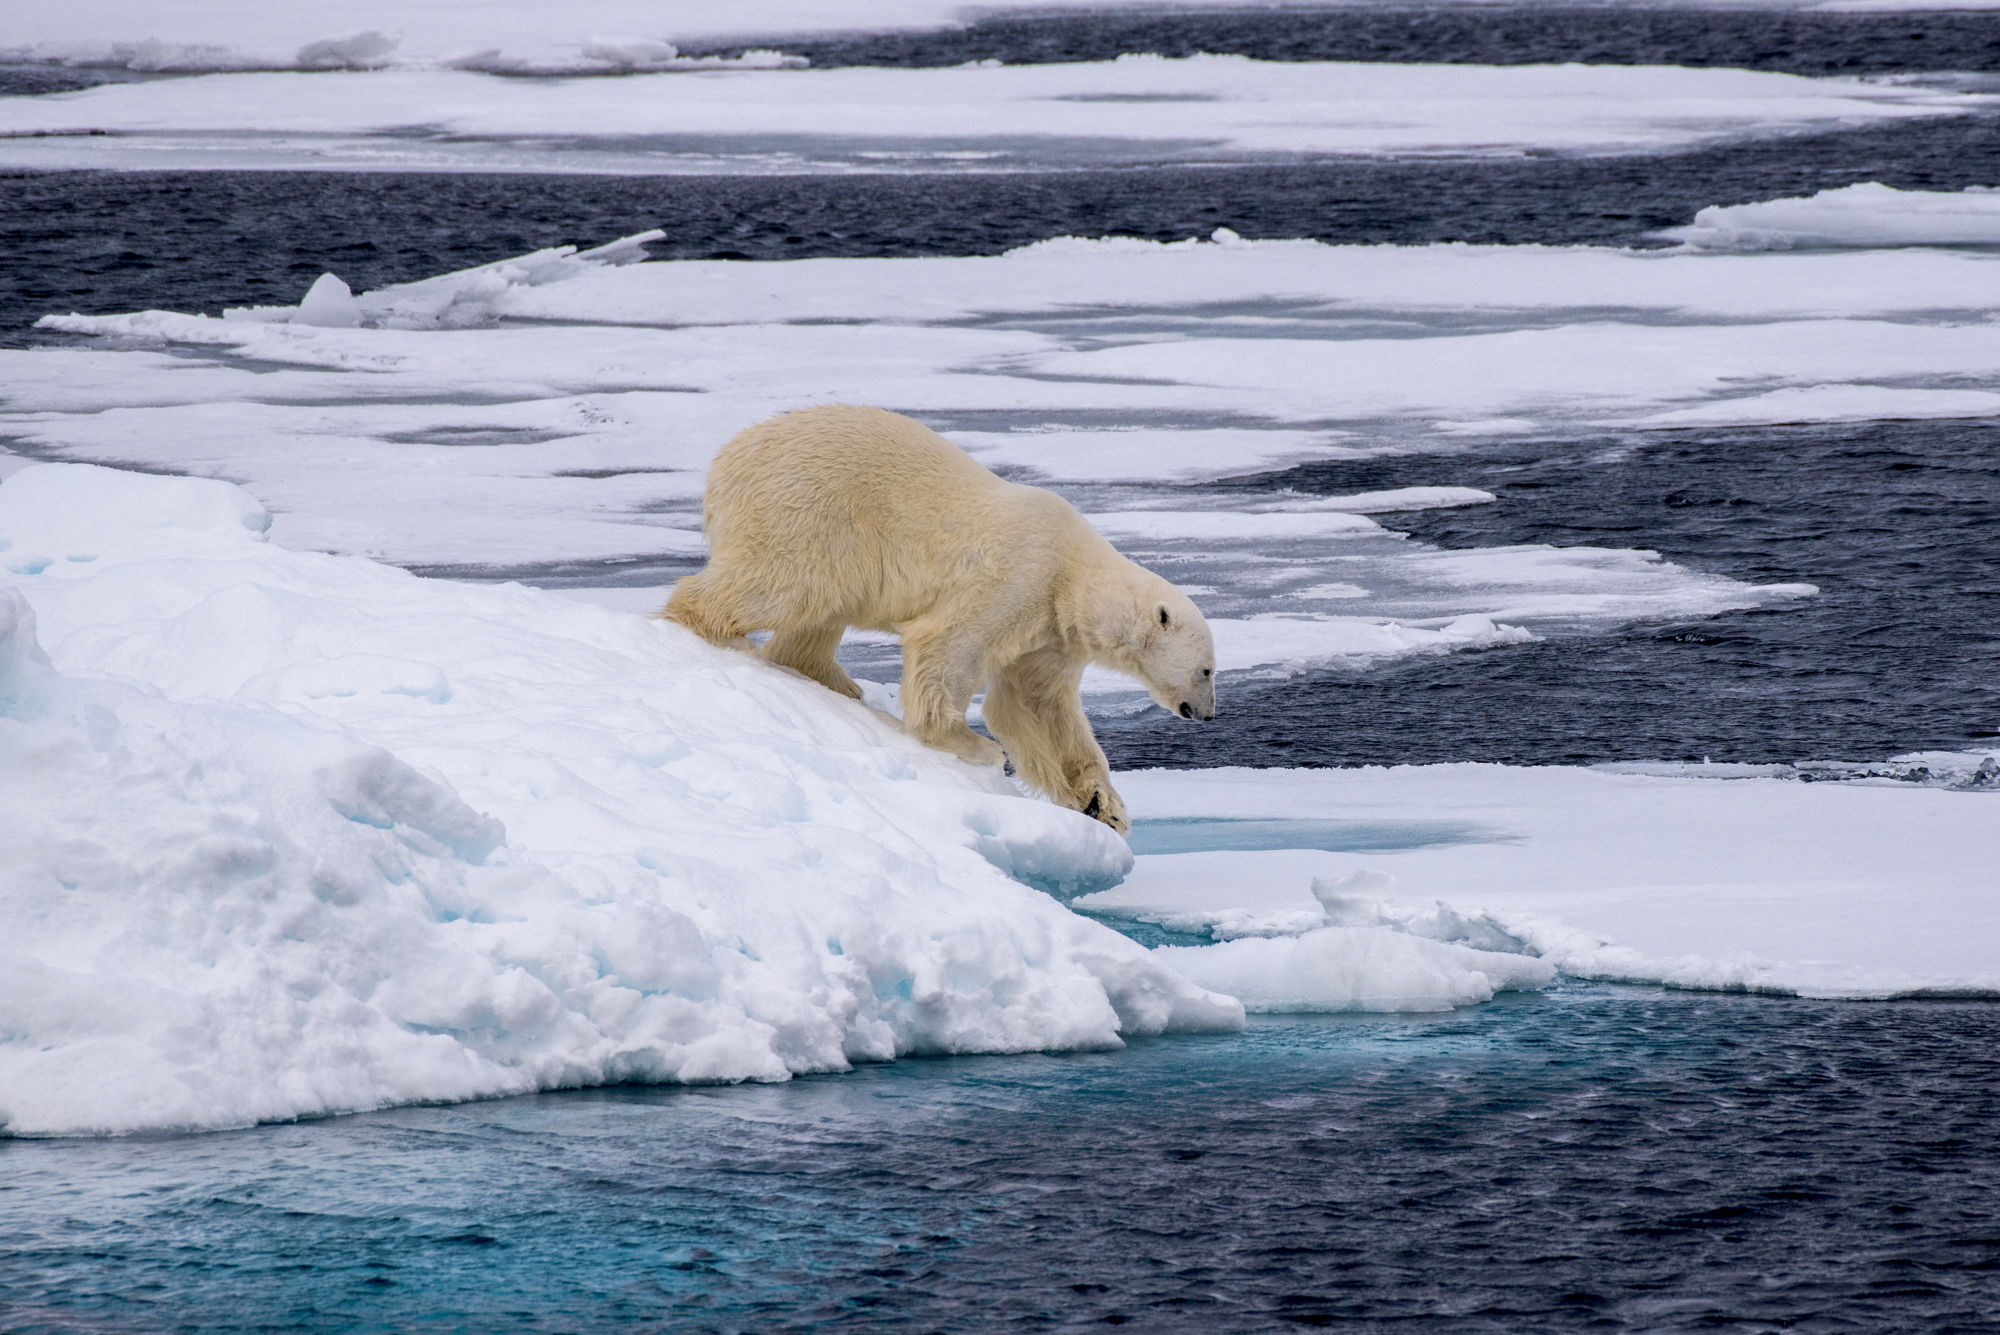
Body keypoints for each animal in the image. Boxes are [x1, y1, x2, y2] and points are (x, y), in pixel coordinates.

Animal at [660, 404, 1216, 835]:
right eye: (1208, 669)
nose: (1207, 714)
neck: (1071, 573)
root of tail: (726, 460)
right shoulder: (1017, 576)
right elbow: (949, 648)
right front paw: (974, 745)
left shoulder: (1050, 632)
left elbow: (1035, 703)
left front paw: (1103, 805)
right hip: (805, 510)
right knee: (780, 582)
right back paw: (722, 633)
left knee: (818, 614)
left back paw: (834, 682)